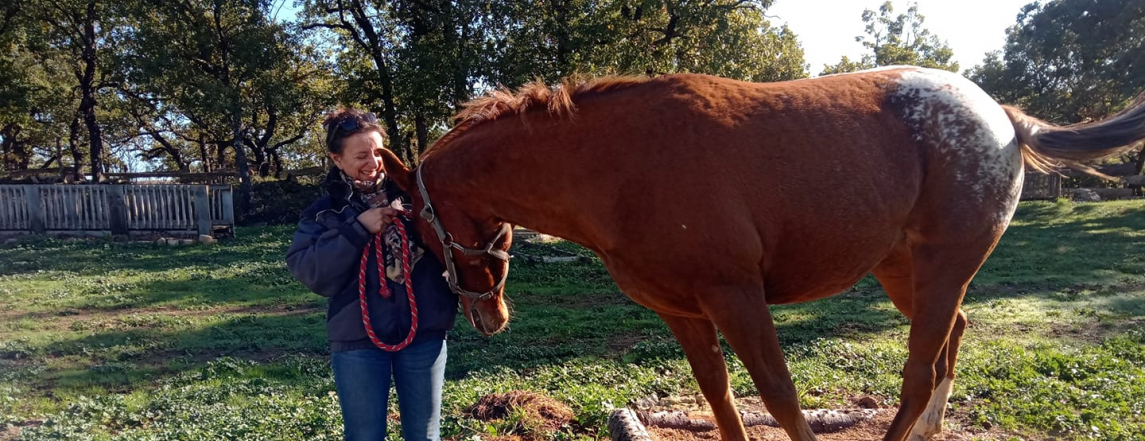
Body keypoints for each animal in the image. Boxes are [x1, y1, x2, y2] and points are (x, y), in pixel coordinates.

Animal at [377, 66, 1145, 439]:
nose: (487, 317)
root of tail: (1003, 117)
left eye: (419, 226)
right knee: (951, 340)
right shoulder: (683, 312)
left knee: (919, 373)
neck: (619, 166)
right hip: (906, 273)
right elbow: (720, 397)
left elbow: (778, 394)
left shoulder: (736, 296)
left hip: (942, 268)